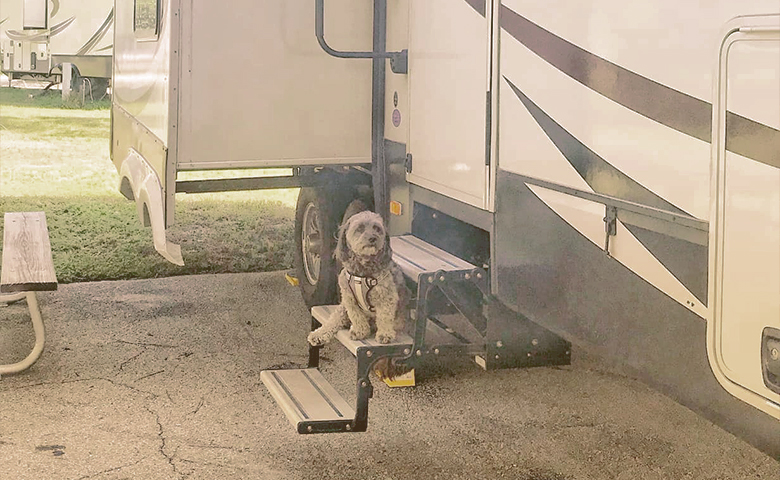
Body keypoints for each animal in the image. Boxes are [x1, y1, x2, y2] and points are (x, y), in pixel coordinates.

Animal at [308, 207, 412, 348]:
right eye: (360, 228)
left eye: (377, 228)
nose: (373, 238)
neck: (362, 272)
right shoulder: (349, 299)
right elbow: (356, 316)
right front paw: (360, 331)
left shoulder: (387, 297)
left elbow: (384, 317)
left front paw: (385, 334)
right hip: (342, 309)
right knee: (332, 321)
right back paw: (319, 334)